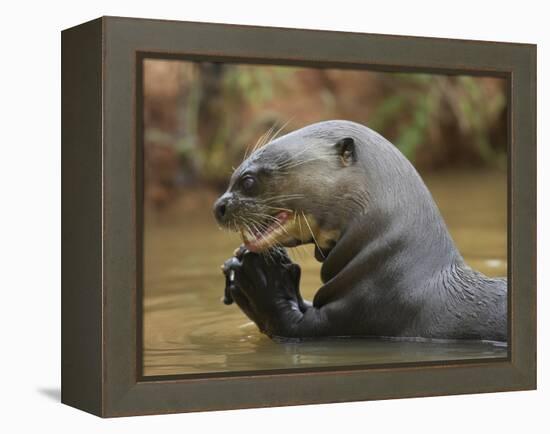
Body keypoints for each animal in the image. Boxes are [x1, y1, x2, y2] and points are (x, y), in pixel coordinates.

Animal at [212, 119, 508, 342]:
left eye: (248, 181)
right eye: (232, 177)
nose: (219, 206)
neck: (394, 268)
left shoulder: (363, 313)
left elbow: (286, 324)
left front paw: (259, 277)